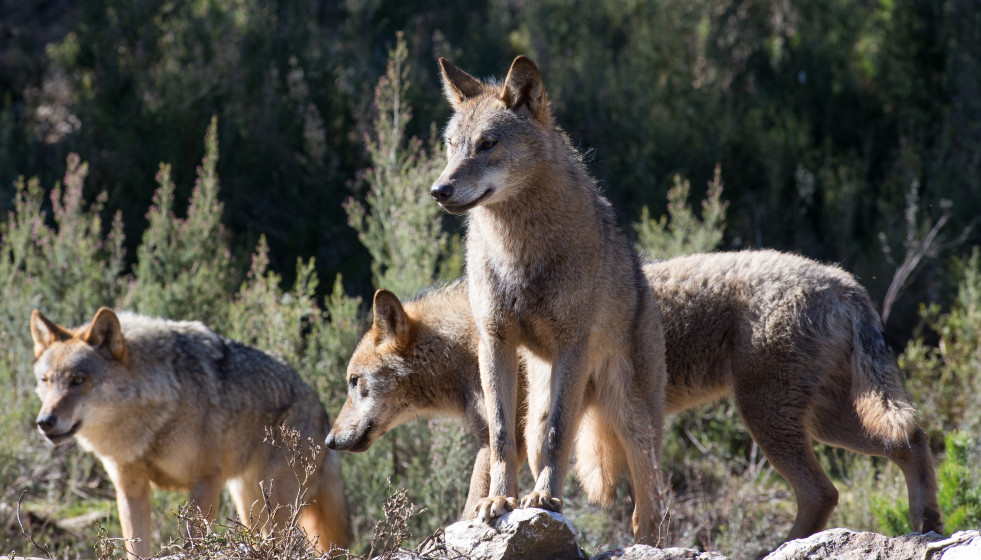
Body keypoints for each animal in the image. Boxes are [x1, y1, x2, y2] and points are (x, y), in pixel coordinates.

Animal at [31, 307, 349, 558]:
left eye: (78, 380)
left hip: (277, 507)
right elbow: (136, 547)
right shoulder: (130, 490)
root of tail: (320, 407)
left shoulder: (205, 482)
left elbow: (194, 544)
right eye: (45, 381)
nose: (45, 421)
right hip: (250, 506)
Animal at [327, 250, 942, 545]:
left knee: (823, 490)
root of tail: (845, 282)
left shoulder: (504, 442)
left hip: (772, 421)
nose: (330, 441)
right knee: (911, 441)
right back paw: (927, 523)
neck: (468, 342)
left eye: (355, 384)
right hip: (825, 422)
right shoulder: (501, 441)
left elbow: (474, 502)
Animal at [428, 55, 668, 543]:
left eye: (487, 144)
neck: (519, 251)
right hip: (540, 407)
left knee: (648, 511)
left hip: (634, 426)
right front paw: (498, 501)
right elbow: (501, 437)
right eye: (451, 145)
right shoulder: (494, 342)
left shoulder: (572, 343)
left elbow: (560, 435)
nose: (438, 191)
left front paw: (543, 500)